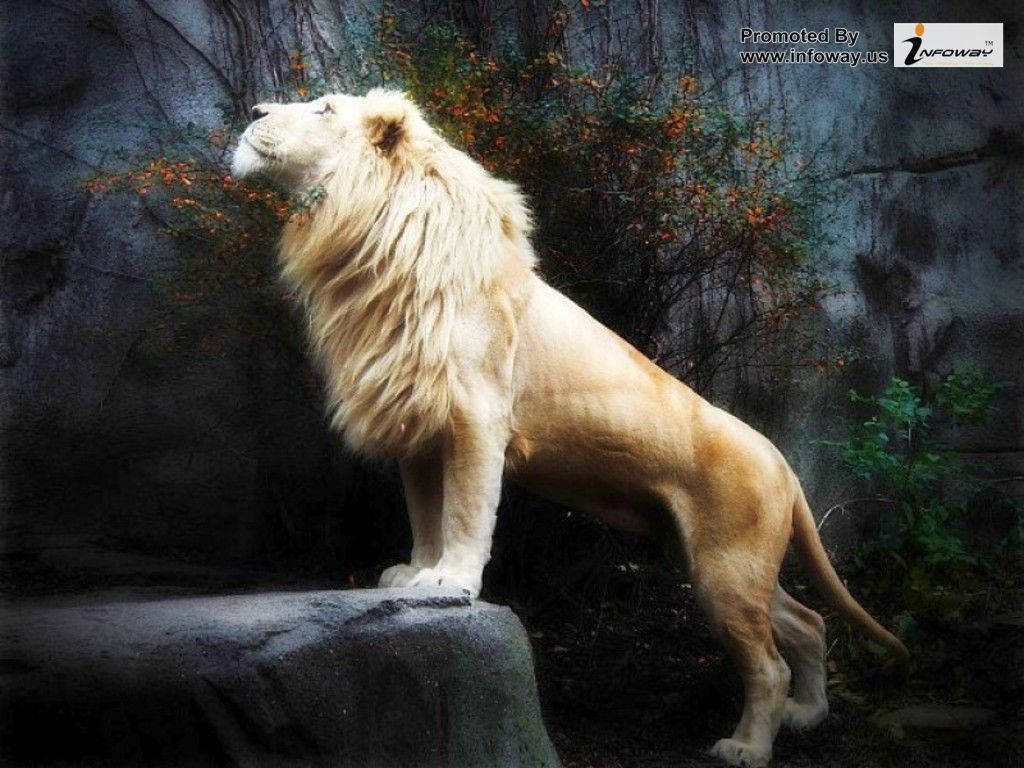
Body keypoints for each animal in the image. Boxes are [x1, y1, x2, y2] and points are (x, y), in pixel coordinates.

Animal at [232, 89, 908, 767]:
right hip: (721, 558)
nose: (255, 110)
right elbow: (425, 512)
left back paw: (746, 747)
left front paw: (452, 581)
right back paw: (808, 714)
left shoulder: (478, 412)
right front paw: (413, 575)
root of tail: (783, 460)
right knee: (808, 624)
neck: (368, 238)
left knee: (768, 663)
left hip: (726, 568)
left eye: (324, 109)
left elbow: (466, 509)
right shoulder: (417, 421)